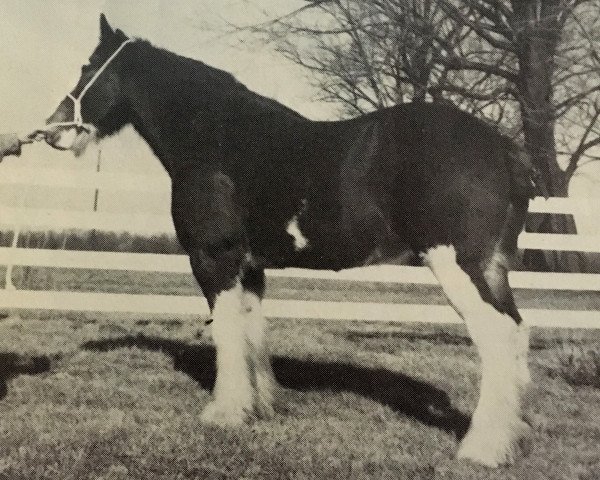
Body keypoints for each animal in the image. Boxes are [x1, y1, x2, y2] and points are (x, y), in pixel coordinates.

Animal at [45, 15, 536, 468]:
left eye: (89, 67)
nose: (52, 130)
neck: (219, 138)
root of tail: (500, 145)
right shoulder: (251, 266)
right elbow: (253, 332)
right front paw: (262, 405)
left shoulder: (214, 259)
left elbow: (226, 332)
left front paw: (224, 413)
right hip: (492, 269)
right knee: (515, 332)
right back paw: (511, 439)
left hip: (458, 266)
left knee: (496, 337)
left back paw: (481, 449)